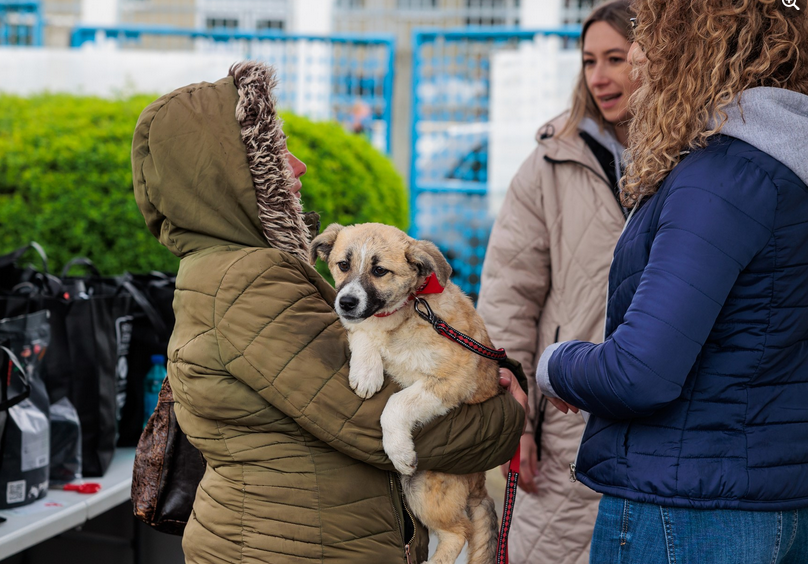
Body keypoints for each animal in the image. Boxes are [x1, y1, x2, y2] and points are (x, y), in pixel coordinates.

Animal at [312, 223, 502, 564]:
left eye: (379, 271)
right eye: (343, 265)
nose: (345, 303)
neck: (401, 316)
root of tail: (479, 483)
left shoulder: (452, 379)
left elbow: (396, 402)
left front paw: (398, 450)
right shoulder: (361, 325)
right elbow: (361, 332)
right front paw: (366, 371)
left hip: (424, 485)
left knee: (459, 532)